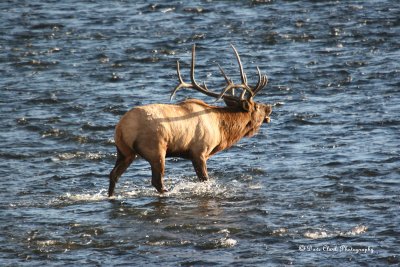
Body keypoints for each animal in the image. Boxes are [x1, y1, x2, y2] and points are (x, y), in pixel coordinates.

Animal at [108, 45, 274, 197]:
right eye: (257, 106)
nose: (269, 107)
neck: (221, 130)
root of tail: (121, 128)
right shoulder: (199, 151)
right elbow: (204, 179)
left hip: (124, 151)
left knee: (113, 174)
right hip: (156, 150)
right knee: (157, 181)